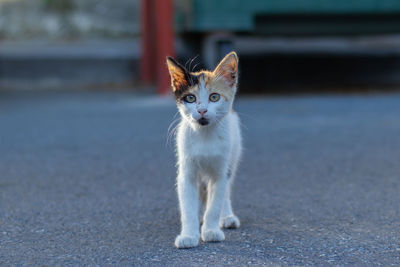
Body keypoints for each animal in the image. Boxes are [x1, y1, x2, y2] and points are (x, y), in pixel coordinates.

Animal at [166, 51, 242, 249]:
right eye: (191, 98)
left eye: (214, 97)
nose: (201, 110)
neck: (205, 135)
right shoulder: (186, 172)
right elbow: (188, 207)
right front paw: (189, 235)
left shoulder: (220, 171)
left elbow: (215, 204)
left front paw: (211, 230)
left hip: (234, 153)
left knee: (226, 190)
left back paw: (227, 216)